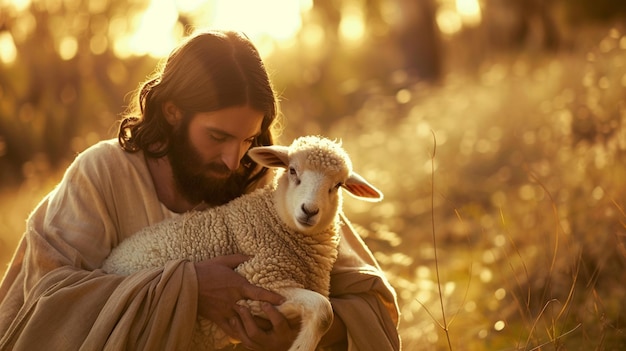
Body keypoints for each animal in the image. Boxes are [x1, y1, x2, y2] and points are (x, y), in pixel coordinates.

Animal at [100, 135, 382, 351]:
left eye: (338, 185)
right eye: (292, 171)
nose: (309, 211)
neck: (273, 221)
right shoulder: (256, 279)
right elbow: (324, 311)